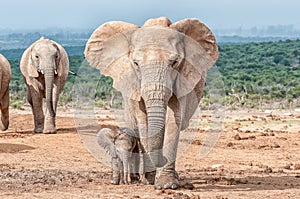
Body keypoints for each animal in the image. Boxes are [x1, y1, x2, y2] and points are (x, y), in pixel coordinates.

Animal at [84, 16, 218, 189]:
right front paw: (149, 179)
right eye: (135, 63)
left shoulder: (182, 78)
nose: (161, 160)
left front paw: (166, 184)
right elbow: (143, 121)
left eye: (174, 62)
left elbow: (174, 118)